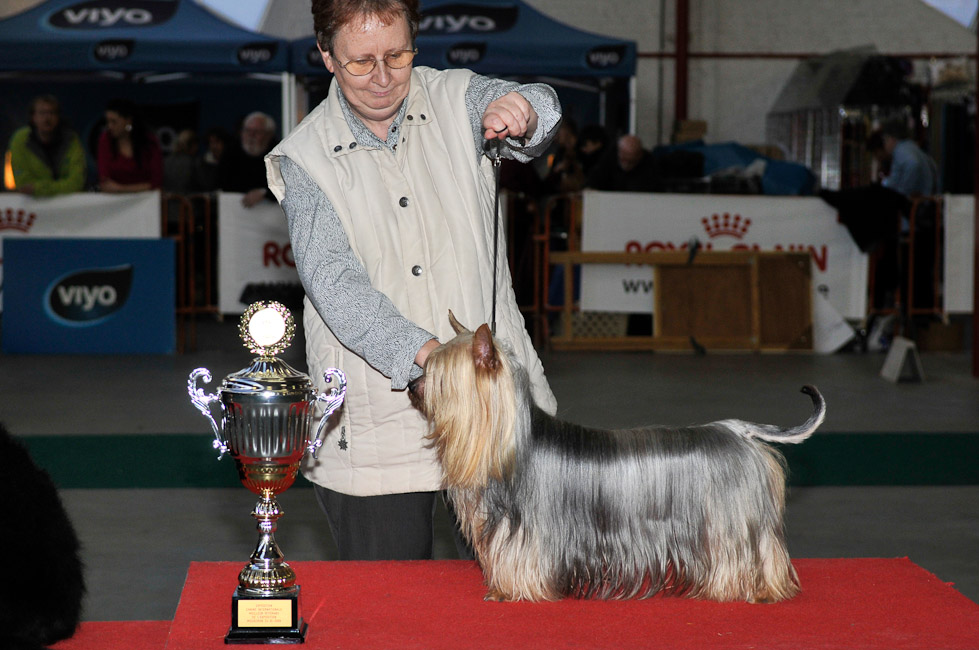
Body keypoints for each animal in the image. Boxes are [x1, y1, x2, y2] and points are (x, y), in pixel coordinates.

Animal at [408, 314, 828, 604]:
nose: (411, 384)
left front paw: (514, 592)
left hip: (731, 521)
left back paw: (753, 590)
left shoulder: (530, 531)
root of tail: (736, 430)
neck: (512, 442)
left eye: (438, 377)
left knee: (748, 553)